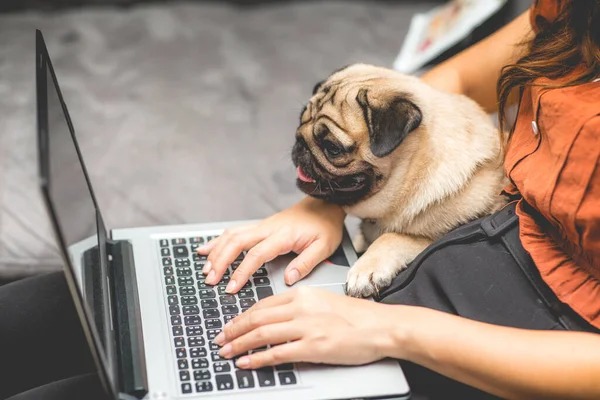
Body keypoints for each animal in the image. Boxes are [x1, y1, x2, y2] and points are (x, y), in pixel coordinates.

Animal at [292, 64, 508, 296]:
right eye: (300, 122)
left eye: (332, 148)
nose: (300, 143)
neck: (412, 175)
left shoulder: (437, 236)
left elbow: (394, 237)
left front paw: (365, 269)